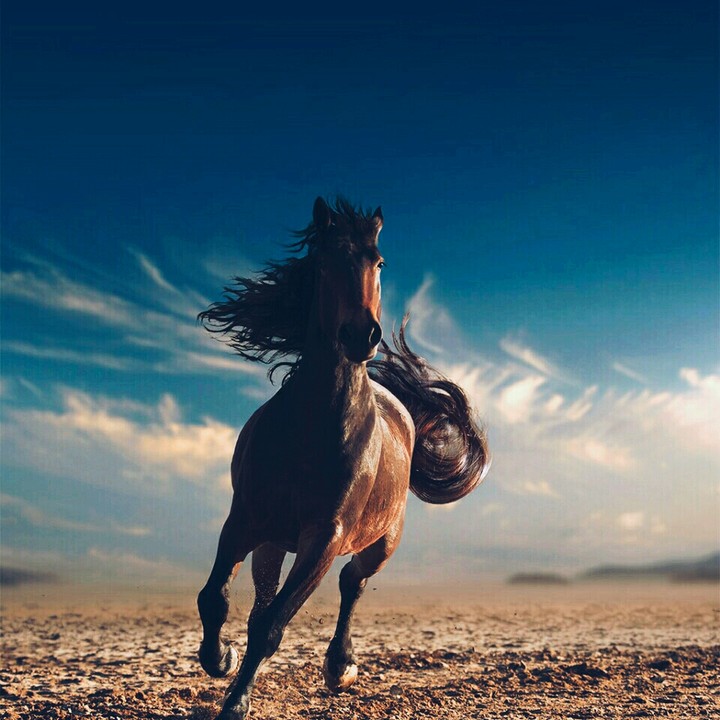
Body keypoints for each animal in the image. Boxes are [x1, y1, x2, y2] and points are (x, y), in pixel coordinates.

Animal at [196, 197, 489, 719]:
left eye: (379, 262)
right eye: (324, 261)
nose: (361, 335)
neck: (313, 429)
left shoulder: (325, 538)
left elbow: (271, 627)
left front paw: (236, 701)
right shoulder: (245, 519)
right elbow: (216, 601)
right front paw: (220, 659)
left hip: (382, 540)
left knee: (352, 583)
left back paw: (341, 667)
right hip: (273, 540)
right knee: (265, 594)